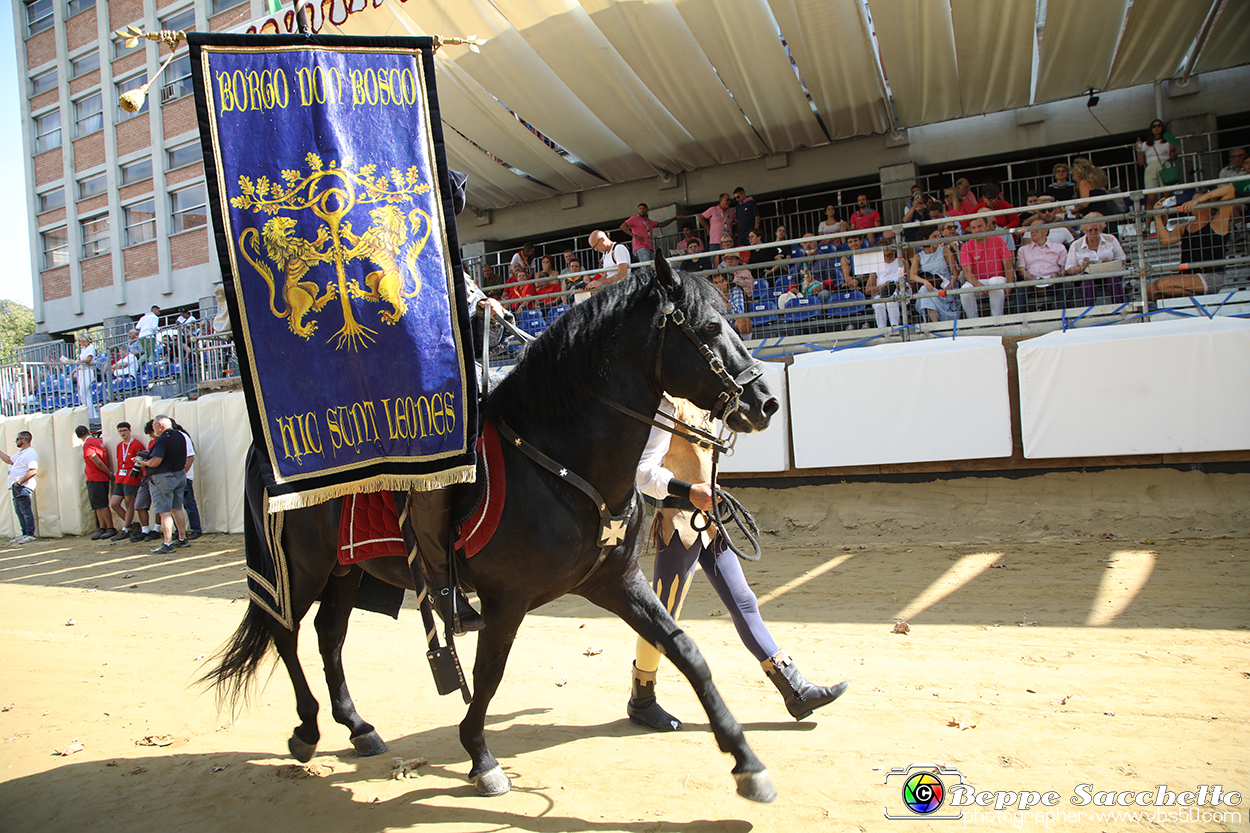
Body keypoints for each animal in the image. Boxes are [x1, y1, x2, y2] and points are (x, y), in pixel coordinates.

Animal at [205, 252, 780, 800]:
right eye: (708, 328)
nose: (765, 403)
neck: (559, 460)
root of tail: (270, 446)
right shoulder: (508, 599)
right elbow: (488, 673)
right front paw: (480, 757)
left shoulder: (615, 581)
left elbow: (687, 651)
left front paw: (747, 762)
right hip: (302, 569)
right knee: (286, 632)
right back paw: (306, 730)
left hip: (347, 570)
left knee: (329, 636)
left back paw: (358, 727)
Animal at [232, 153, 437, 350]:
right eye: (282, 222)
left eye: (382, 212)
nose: (372, 213)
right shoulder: (301, 253)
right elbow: (314, 251)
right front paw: (331, 246)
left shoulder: (371, 243)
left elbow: (356, 245)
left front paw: (340, 244)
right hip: (309, 292)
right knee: (301, 314)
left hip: (382, 281)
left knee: (393, 301)